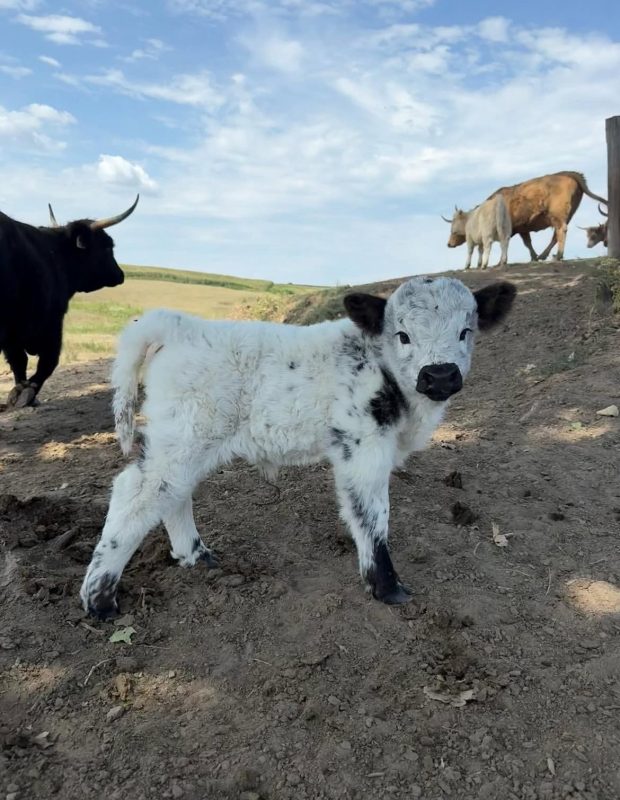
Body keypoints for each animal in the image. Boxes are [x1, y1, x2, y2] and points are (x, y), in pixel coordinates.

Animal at [0, 196, 139, 409]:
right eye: (108, 246)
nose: (120, 274)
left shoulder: (15, 334)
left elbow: (20, 361)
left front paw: (22, 392)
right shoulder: (51, 323)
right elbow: (46, 362)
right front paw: (28, 393)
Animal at [80, 276, 516, 619]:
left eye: (466, 332)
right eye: (403, 335)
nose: (440, 375)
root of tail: (179, 325)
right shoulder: (362, 450)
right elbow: (372, 517)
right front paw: (387, 587)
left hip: (187, 443)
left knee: (172, 495)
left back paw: (196, 556)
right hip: (185, 436)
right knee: (136, 493)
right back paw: (99, 599)